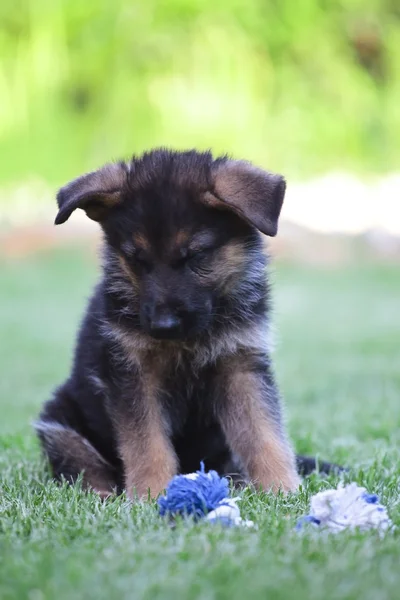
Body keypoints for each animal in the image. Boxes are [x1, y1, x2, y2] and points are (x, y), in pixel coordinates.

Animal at [36, 149, 332, 496]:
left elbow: (264, 434)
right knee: (83, 464)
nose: (163, 327)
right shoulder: (134, 374)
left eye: (196, 256)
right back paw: (103, 493)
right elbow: (147, 445)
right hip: (58, 422)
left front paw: (282, 489)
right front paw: (151, 495)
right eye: (137, 260)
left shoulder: (241, 365)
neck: (191, 340)